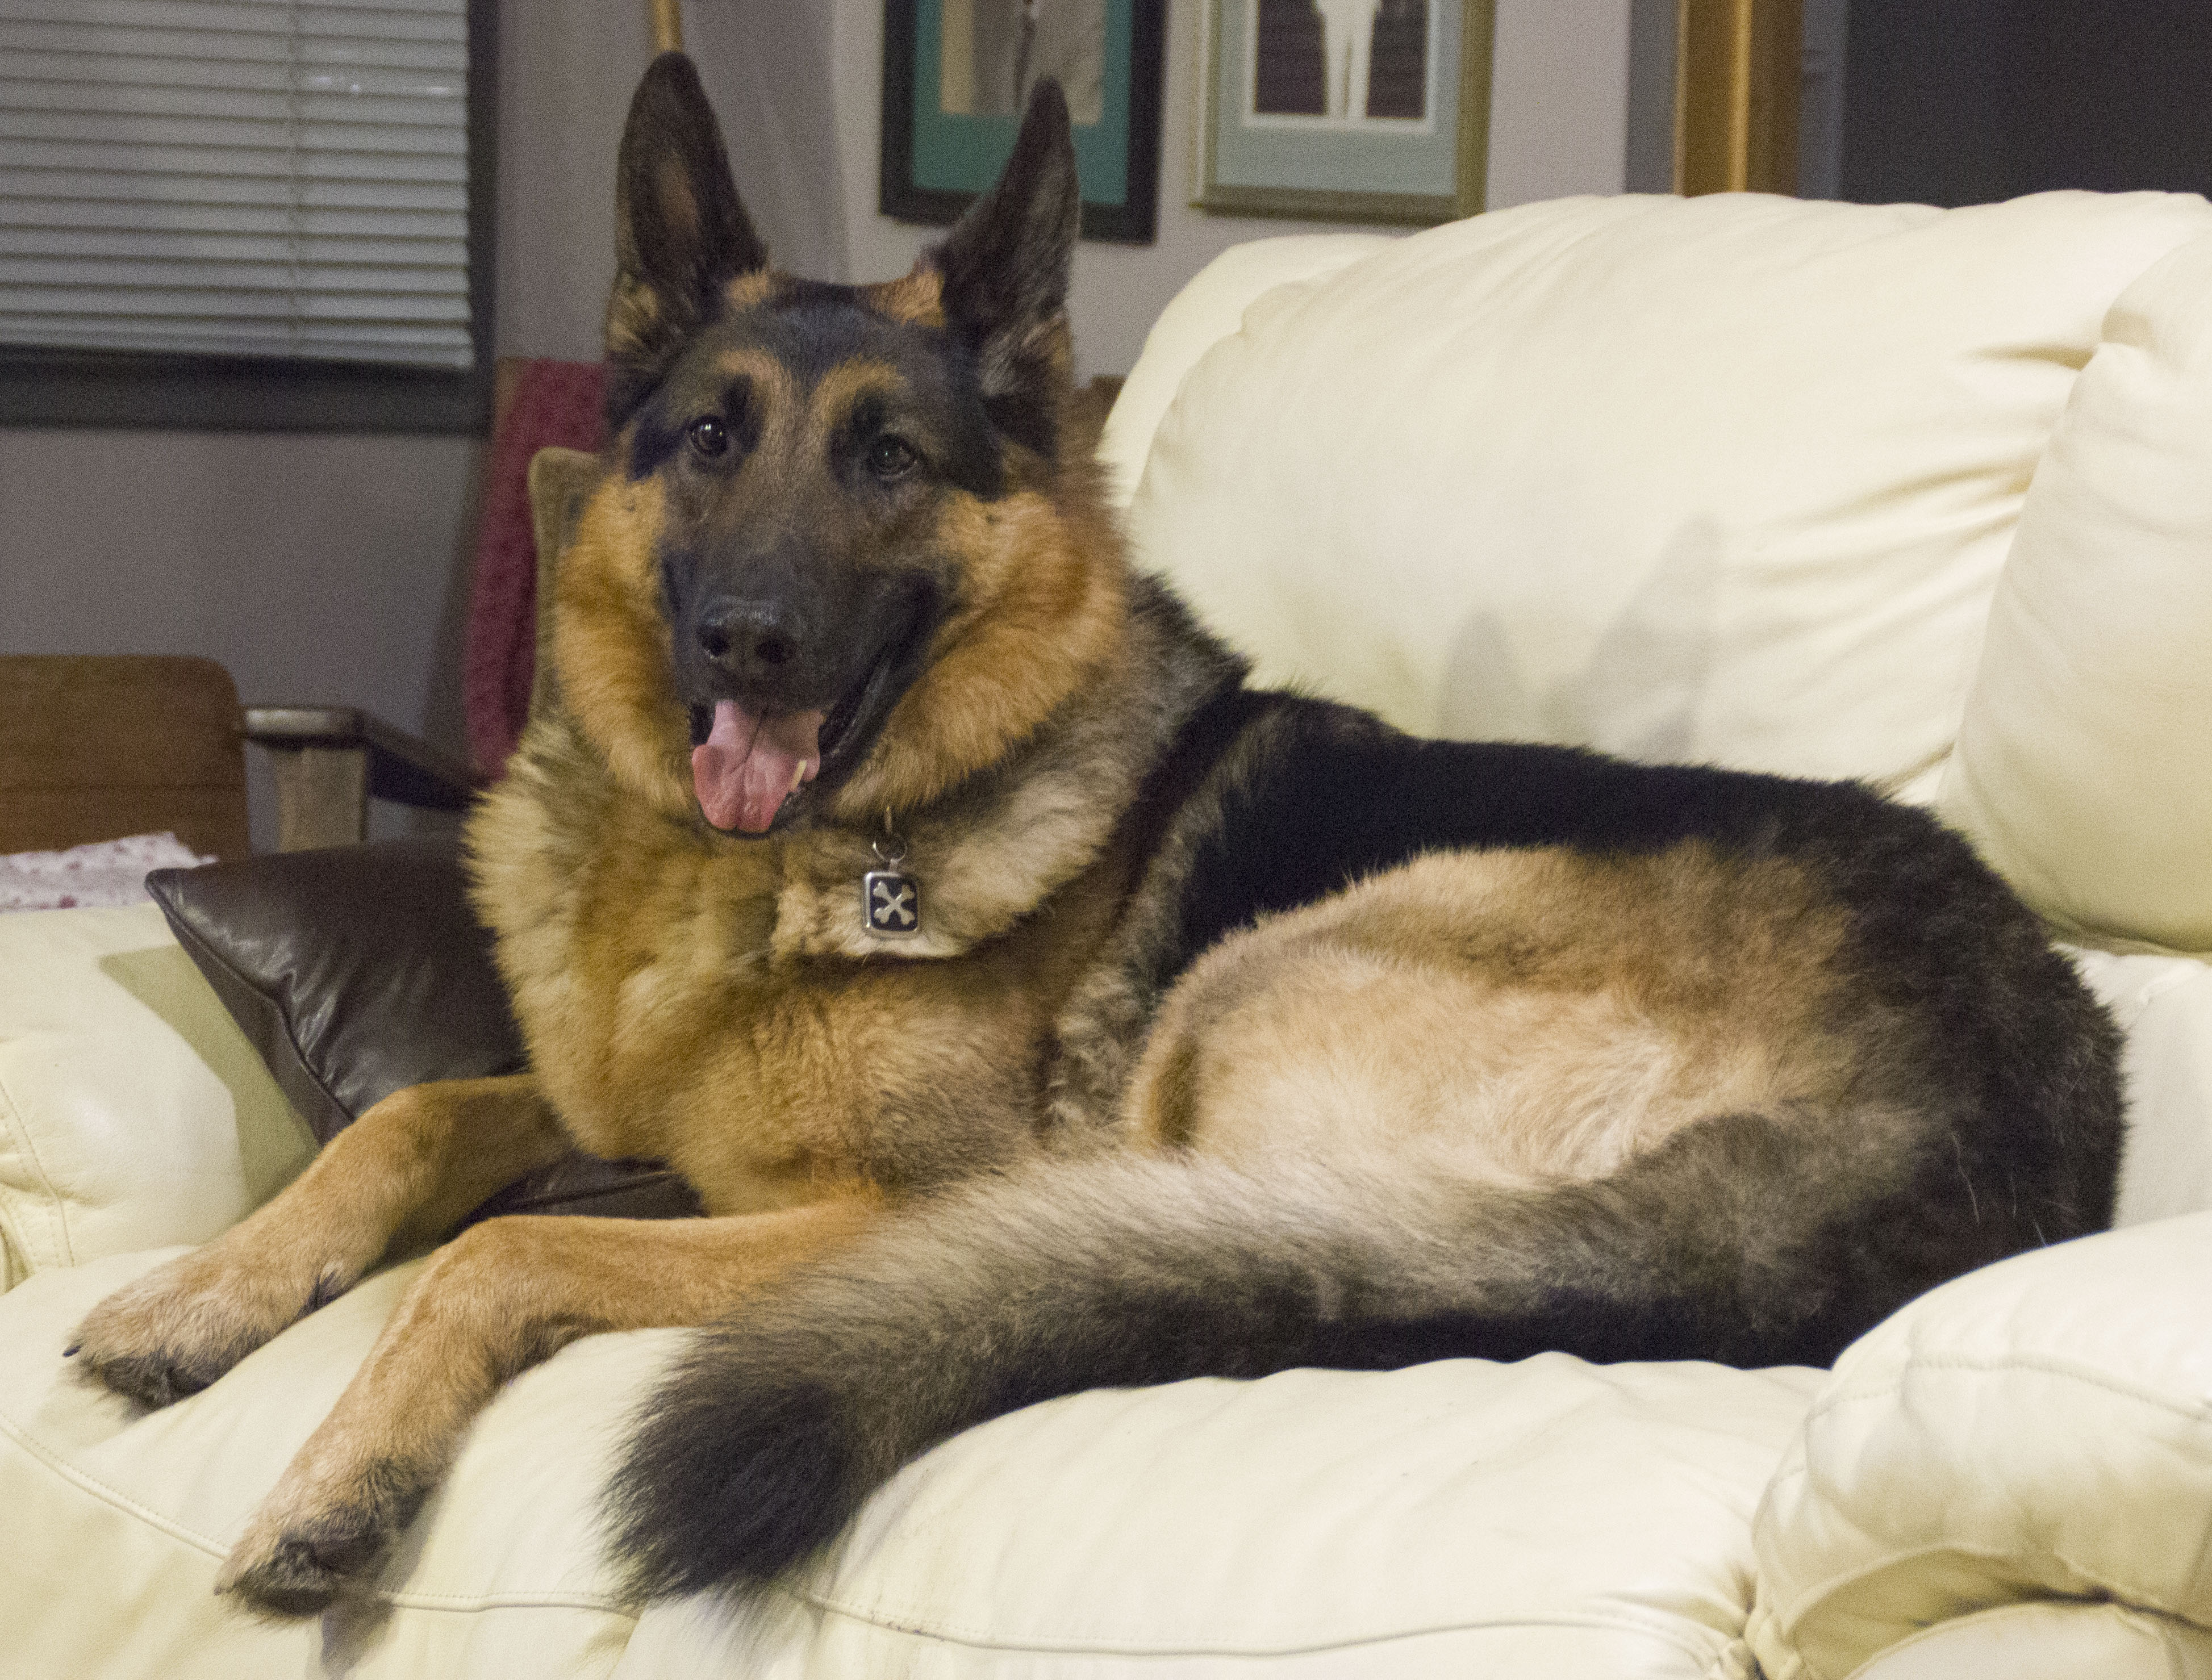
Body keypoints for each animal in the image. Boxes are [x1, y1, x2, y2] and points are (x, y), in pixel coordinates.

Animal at [68, 53, 2124, 1615]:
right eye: (709, 438)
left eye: (889, 459)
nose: (747, 639)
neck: (754, 867)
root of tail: (1971, 1111)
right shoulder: (604, 1105)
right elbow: (413, 1118)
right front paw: (202, 1290)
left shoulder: (869, 1201)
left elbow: (491, 1250)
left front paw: (341, 1474)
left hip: (1251, 998)